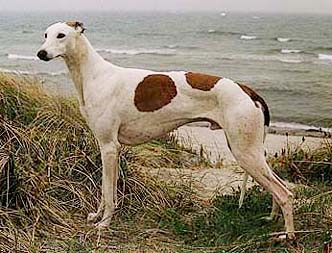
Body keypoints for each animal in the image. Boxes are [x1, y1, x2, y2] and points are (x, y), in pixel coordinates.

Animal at [37, 21, 294, 239]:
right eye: (46, 35)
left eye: (61, 35)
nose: (41, 54)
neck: (95, 75)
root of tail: (248, 91)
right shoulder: (112, 149)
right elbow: (105, 190)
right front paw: (98, 215)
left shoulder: (109, 147)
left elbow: (108, 193)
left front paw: (105, 223)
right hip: (251, 151)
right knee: (278, 187)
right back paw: (273, 220)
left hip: (245, 152)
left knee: (285, 193)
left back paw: (288, 236)